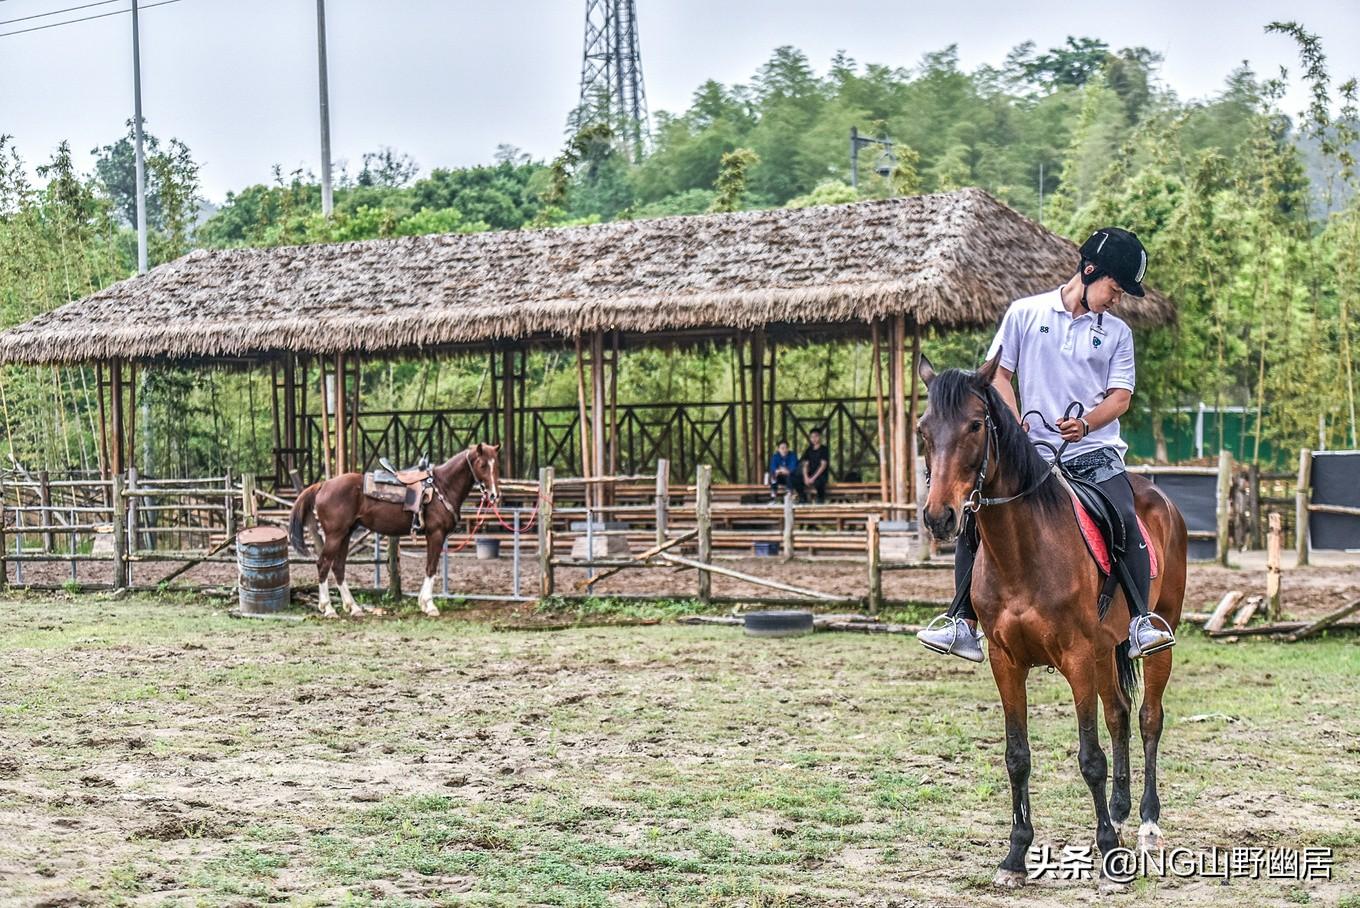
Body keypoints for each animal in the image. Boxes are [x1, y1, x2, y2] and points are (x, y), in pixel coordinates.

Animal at [289, 445, 503, 617]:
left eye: (496, 465)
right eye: (482, 465)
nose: (494, 495)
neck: (442, 486)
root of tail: (323, 485)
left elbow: (429, 566)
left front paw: (423, 603)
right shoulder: (435, 534)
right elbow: (431, 567)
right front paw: (429, 605)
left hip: (346, 534)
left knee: (338, 566)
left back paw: (354, 608)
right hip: (335, 535)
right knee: (323, 564)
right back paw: (328, 608)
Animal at [913, 353, 1191, 886]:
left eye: (975, 425)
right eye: (923, 429)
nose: (941, 517)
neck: (1023, 550)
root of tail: (1158, 495)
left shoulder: (1077, 656)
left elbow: (1090, 757)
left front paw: (1108, 848)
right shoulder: (1006, 662)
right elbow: (1017, 757)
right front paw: (1016, 854)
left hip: (1154, 635)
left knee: (1148, 719)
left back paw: (1146, 824)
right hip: (1105, 650)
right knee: (1119, 714)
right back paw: (1120, 810)